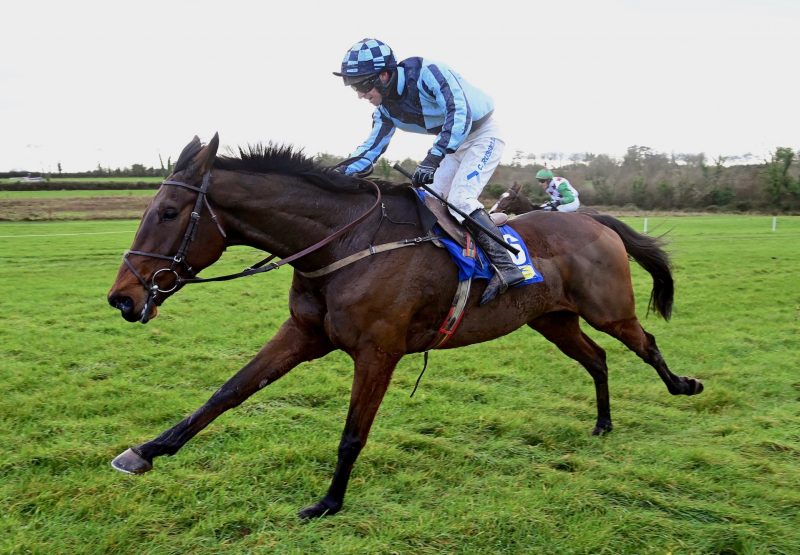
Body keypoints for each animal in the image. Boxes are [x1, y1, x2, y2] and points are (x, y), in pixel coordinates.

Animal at [109, 135, 704, 520]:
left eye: (167, 212)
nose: (123, 297)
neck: (341, 244)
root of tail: (592, 220)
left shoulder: (379, 350)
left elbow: (353, 433)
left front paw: (328, 502)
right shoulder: (304, 335)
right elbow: (227, 392)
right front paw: (146, 451)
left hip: (609, 310)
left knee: (645, 343)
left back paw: (684, 385)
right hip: (551, 321)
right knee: (597, 359)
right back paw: (602, 423)